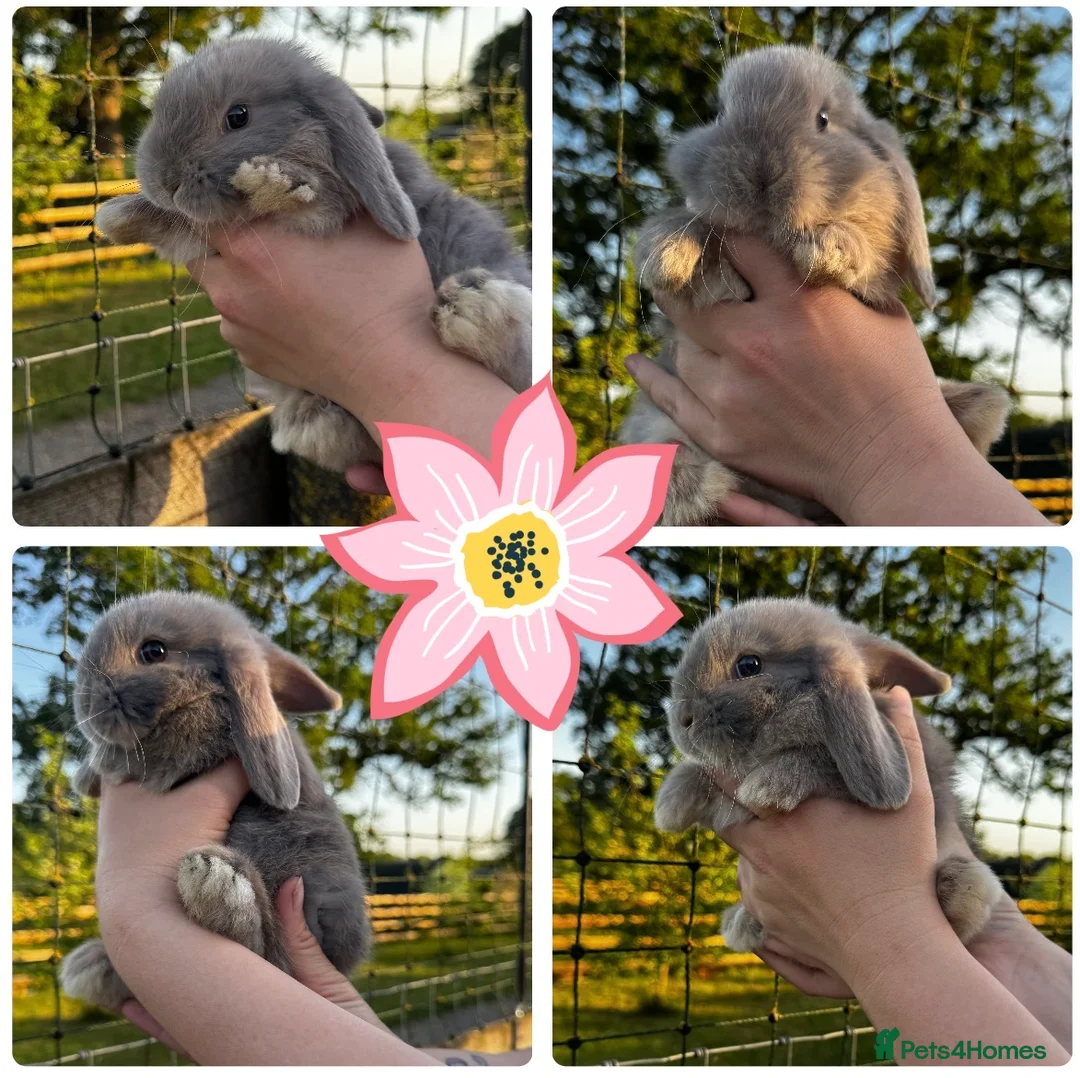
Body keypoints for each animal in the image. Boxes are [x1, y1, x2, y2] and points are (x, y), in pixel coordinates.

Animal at [58, 591, 371, 1014]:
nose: (87, 706)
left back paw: (217, 881)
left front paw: (96, 766)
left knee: (266, 953)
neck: (203, 695)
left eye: (153, 651)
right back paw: (92, 967)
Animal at [94, 37, 532, 475]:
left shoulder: (332, 207)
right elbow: (178, 227)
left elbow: (311, 199)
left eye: (238, 116)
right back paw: (312, 421)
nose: (165, 182)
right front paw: (115, 216)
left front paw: (271, 180)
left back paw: (474, 308)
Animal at [621, 45, 1009, 525]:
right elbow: (686, 231)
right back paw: (698, 483)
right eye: (719, 113)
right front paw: (668, 255)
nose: (759, 171)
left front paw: (828, 249)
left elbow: (863, 251)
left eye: (823, 120)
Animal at [654, 598, 1003, 954]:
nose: (680, 720)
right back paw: (741, 923)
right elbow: (698, 772)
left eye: (749, 665)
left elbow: (818, 764)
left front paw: (767, 787)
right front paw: (669, 808)